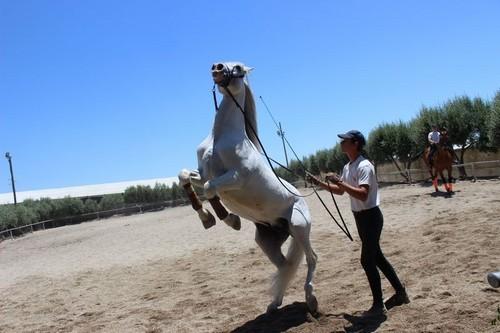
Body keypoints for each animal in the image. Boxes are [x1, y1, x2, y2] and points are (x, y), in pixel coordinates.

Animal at [180, 61, 318, 312]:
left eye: (238, 68)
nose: (217, 67)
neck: (219, 139)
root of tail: (301, 199)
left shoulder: (235, 178)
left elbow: (210, 188)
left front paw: (229, 219)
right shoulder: (201, 173)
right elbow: (184, 176)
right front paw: (206, 218)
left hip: (299, 227)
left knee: (312, 258)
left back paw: (311, 299)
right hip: (267, 241)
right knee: (285, 266)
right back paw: (275, 303)